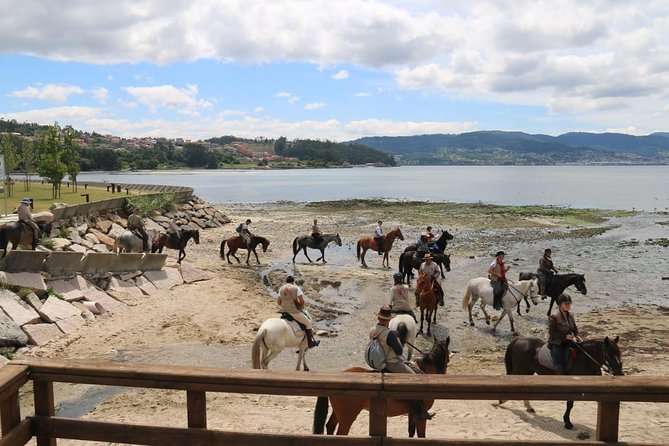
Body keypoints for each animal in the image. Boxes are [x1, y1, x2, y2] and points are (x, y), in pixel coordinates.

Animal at [312, 336, 448, 438]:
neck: (424, 372)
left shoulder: (412, 413)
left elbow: (411, 432)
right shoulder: (421, 417)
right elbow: (421, 435)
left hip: (338, 413)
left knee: (330, 426)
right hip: (347, 418)